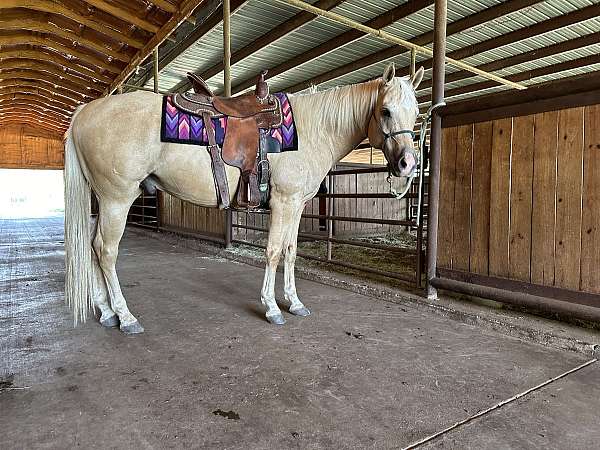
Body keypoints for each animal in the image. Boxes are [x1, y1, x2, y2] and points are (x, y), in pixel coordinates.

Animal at [63, 63, 424, 332]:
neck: (312, 130)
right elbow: (274, 252)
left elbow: (291, 252)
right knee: (106, 250)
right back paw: (125, 317)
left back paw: (107, 312)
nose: (408, 164)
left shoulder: (297, 205)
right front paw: (272, 308)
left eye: (416, 113)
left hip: (103, 200)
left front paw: (294, 303)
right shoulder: (283, 202)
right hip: (117, 198)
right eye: (386, 111)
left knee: (93, 246)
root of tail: (84, 112)